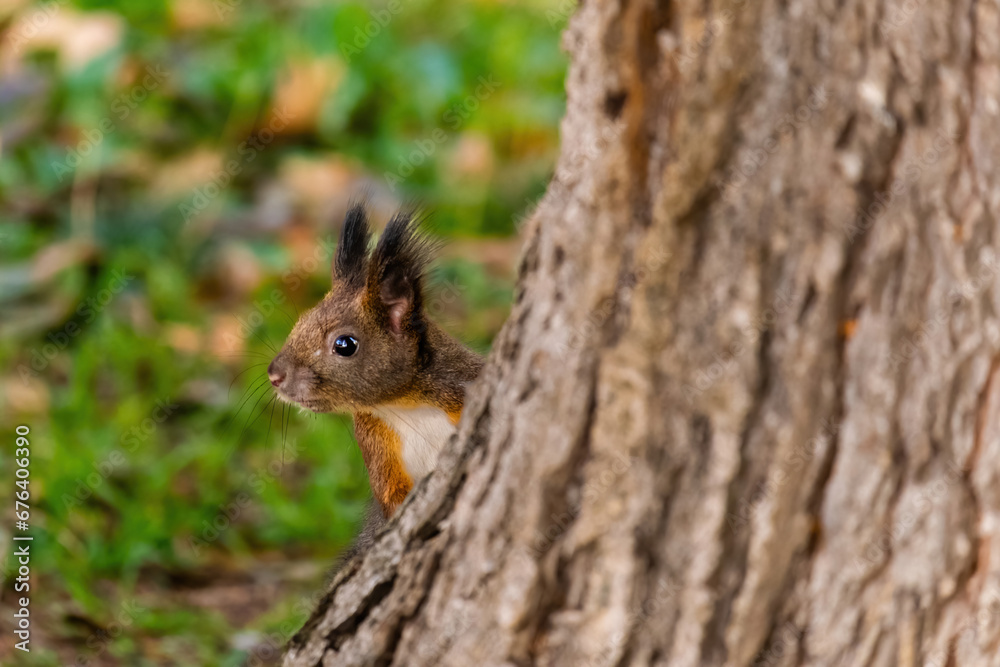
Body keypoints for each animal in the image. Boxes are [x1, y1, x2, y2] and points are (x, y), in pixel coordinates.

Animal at [267, 202, 484, 554]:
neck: (406, 405)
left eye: (345, 344)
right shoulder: (377, 445)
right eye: (300, 321)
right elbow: (391, 497)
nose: (274, 374)